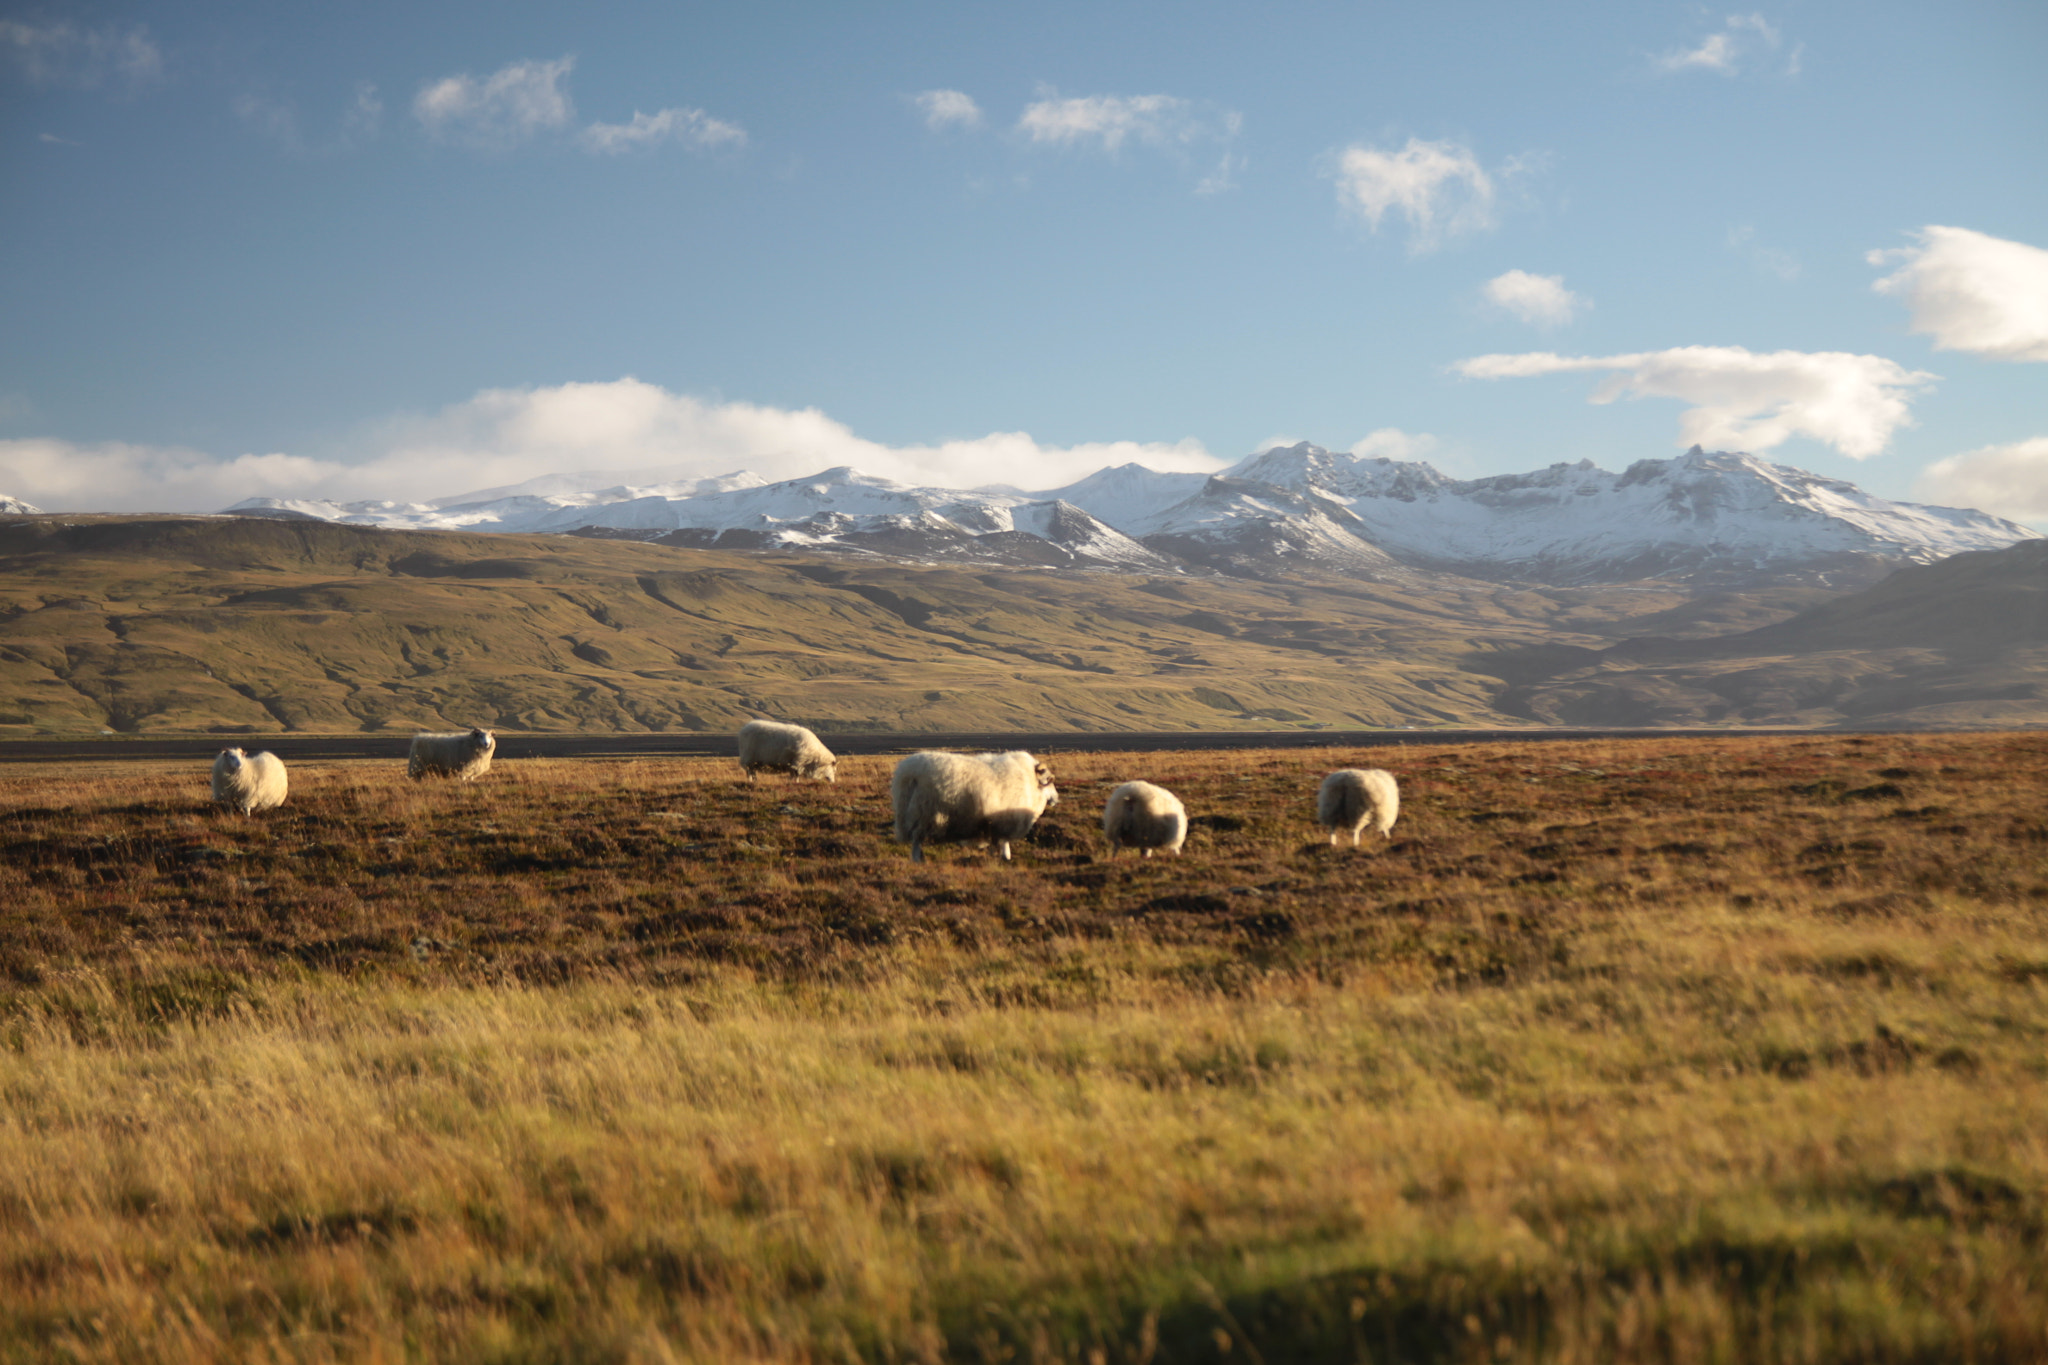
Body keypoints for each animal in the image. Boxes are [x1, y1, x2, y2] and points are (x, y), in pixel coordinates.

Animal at [892, 749, 1056, 863]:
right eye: (1048, 779)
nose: (1056, 799)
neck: (1030, 782)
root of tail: (908, 774)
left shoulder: (993, 823)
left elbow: (995, 841)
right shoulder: (1006, 820)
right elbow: (1004, 841)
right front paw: (1006, 857)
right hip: (922, 813)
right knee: (916, 839)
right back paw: (917, 860)